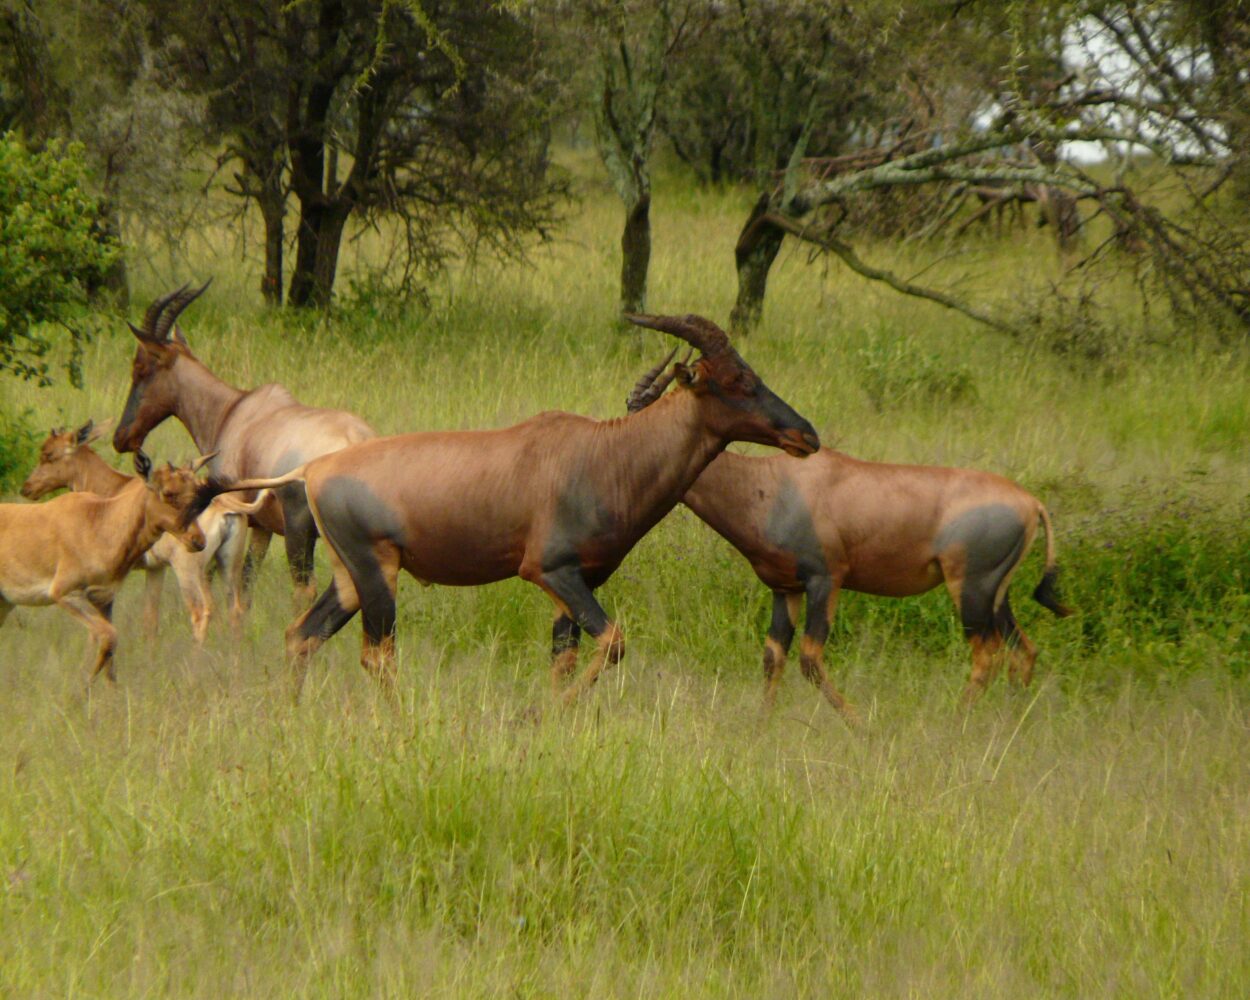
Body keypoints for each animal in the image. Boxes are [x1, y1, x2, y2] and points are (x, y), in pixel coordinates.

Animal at [0, 450, 210, 680]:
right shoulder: (65, 593)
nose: (198, 541)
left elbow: (109, 659)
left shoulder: (103, 599)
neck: (99, 519)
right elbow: (109, 637)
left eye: (195, 489)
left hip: (5, 603)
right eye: (168, 492)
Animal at [19, 420, 266, 640]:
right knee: (235, 611)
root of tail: (225, 504)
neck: (116, 490)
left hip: (189, 568)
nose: (27, 488)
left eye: (48, 454)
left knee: (201, 611)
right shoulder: (156, 568)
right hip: (228, 564)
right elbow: (150, 621)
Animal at [112, 285, 375, 605]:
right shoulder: (262, 527)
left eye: (140, 367)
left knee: (305, 589)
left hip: (299, 529)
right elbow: (248, 582)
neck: (233, 410)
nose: (121, 437)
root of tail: (358, 440)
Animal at [197, 312, 820, 705]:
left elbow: (565, 659)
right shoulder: (549, 570)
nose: (807, 435)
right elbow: (614, 642)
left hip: (348, 578)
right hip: (377, 575)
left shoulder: (578, 582)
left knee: (300, 635)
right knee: (377, 655)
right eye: (737, 379)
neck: (604, 453)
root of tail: (313, 469)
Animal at [625, 355, 1075, 715]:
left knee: (987, 656)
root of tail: (1031, 502)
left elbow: (810, 659)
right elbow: (773, 657)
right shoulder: (784, 588)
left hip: (970, 588)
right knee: (1023, 650)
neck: (772, 484)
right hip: (998, 593)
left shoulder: (827, 579)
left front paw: (860, 725)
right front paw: (761, 725)